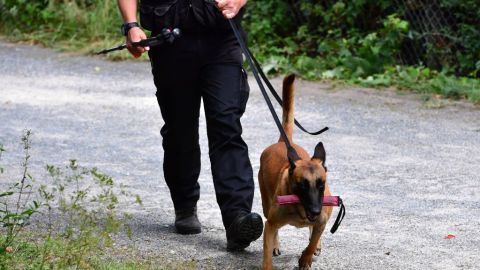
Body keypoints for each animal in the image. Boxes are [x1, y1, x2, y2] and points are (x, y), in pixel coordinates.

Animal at [258, 74, 330, 270]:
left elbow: (313, 240)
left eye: (321, 184)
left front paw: (306, 258)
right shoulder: (270, 223)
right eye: (301, 186)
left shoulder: (322, 220)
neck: (301, 210)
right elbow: (267, 251)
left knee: (314, 234)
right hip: (266, 205)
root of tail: (283, 141)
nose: (314, 210)